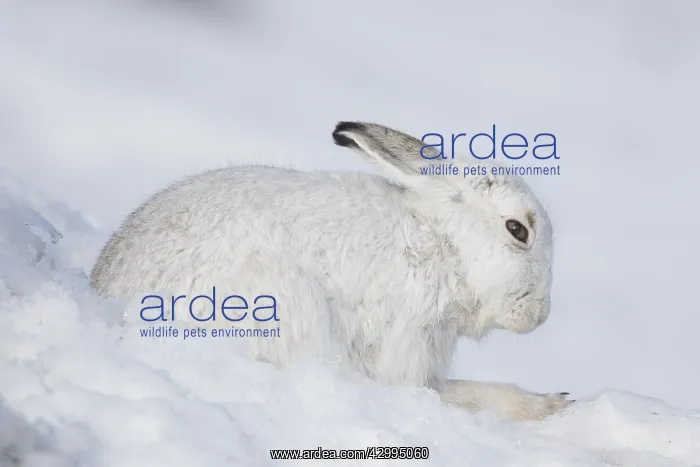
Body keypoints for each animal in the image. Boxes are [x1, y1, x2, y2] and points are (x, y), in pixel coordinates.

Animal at [90, 121, 572, 421]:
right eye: (517, 230)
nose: (540, 316)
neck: (441, 243)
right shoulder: (407, 339)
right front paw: (550, 404)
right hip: (279, 302)